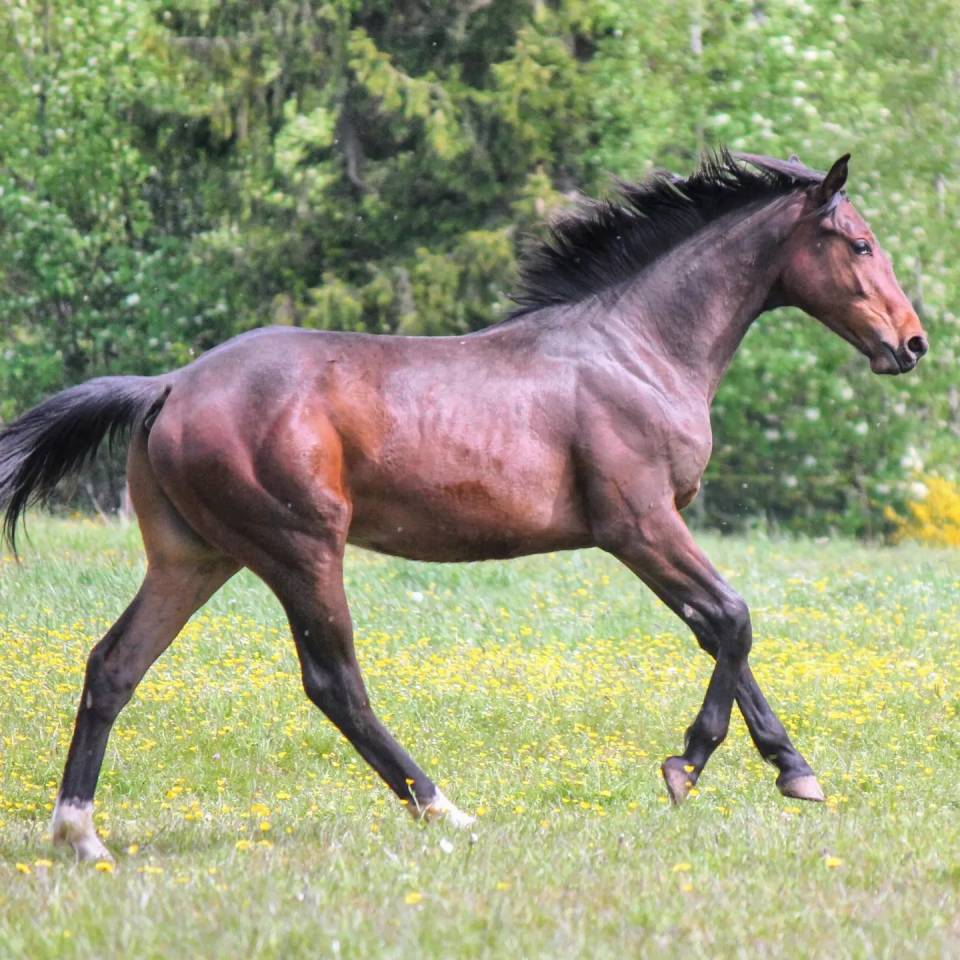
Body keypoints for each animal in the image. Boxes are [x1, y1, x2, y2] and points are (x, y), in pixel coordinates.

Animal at [0, 151, 927, 861]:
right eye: (859, 242)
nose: (911, 344)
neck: (637, 350)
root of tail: (167, 385)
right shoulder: (638, 524)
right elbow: (732, 618)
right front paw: (687, 767)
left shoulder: (652, 530)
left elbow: (721, 630)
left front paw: (794, 771)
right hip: (300, 549)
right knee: (334, 683)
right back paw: (444, 808)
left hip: (195, 557)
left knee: (113, 666)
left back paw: (80, 835)